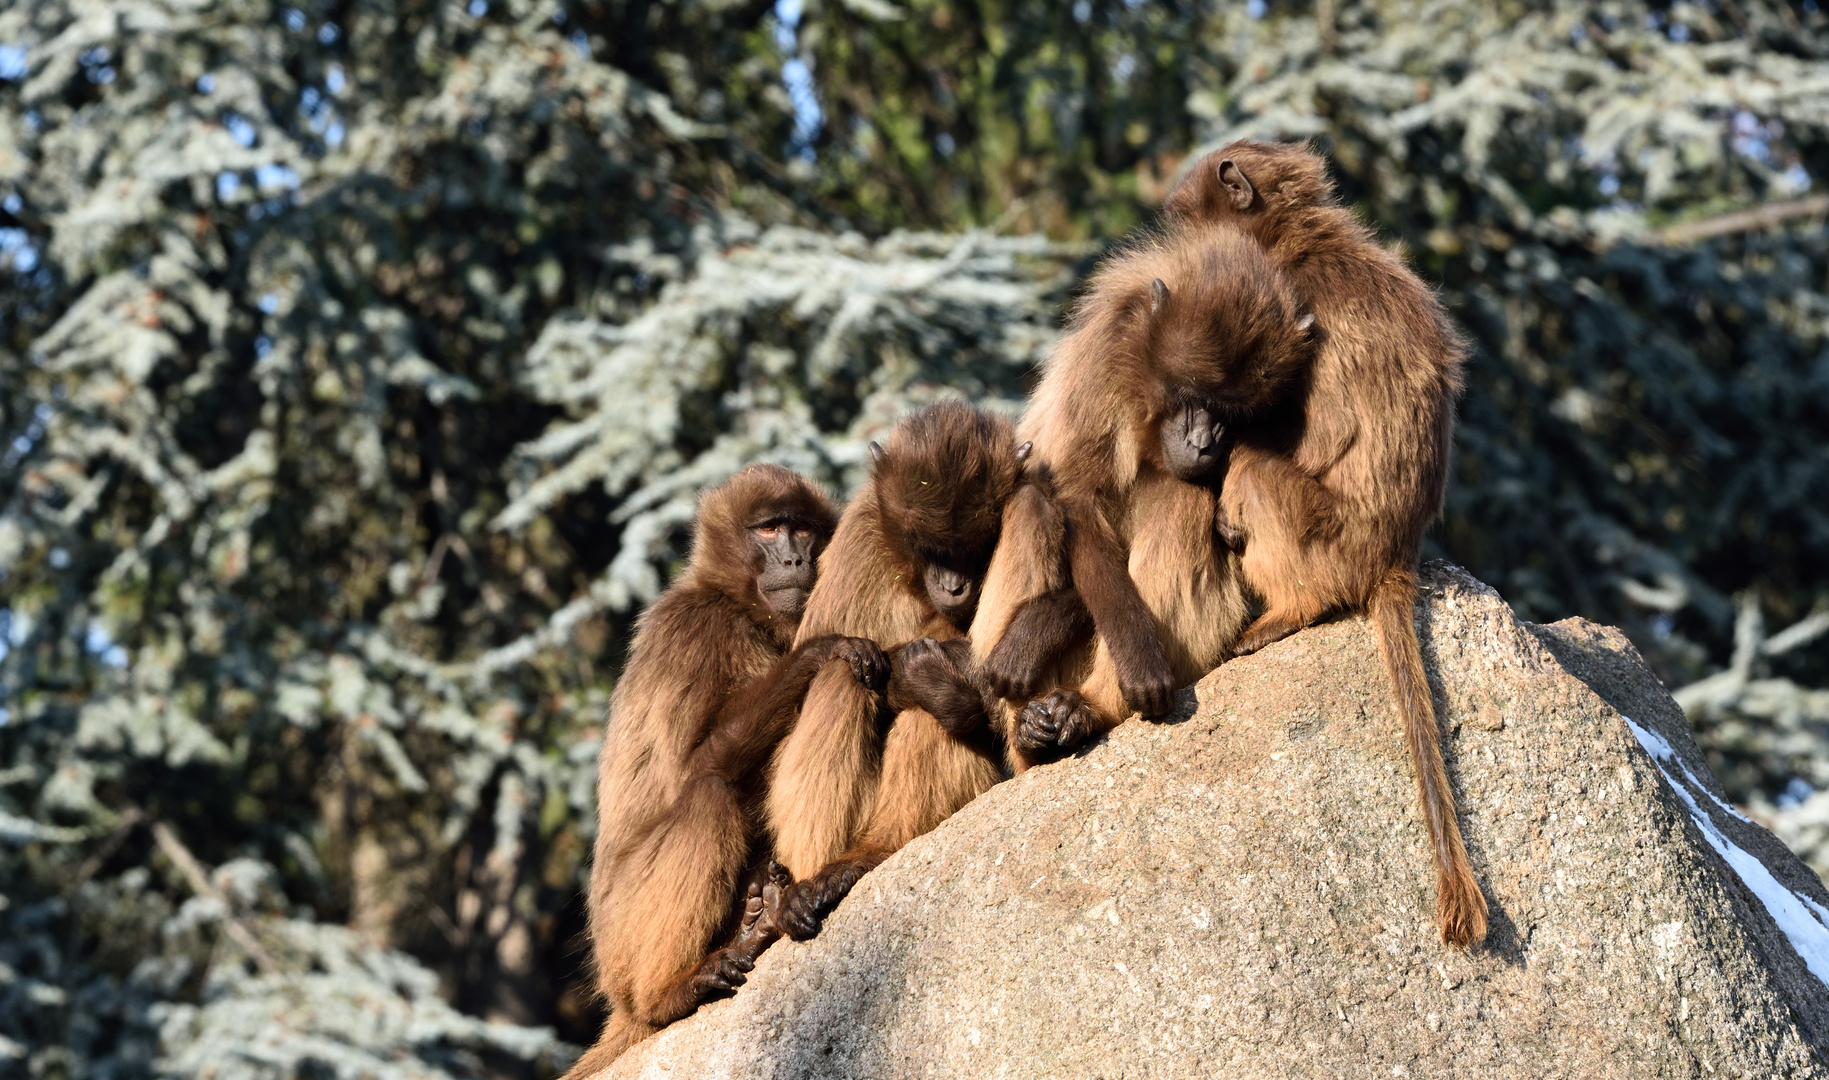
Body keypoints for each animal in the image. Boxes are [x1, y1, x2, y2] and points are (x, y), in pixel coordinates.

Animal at [566, 463, 888, 1076]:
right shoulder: (693, 631)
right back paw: (668, 995)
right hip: (624, 937)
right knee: (708, 795)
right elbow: (694, 768)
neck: (737, 605)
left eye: (802, 529)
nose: (795, 560)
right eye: (768, 529)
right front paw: (818, 652)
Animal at [764, 404, 1031, 937]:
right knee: (843, 673)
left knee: (930, 705)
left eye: (972, 548)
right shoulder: (863, 533)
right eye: (930, 548)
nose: (953, 586)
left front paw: (924, 677)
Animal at [973, 222, 1316, 768]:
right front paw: (1135, 659)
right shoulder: (1103, 359)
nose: (1203, 443)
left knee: (1181, 494)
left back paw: (1085, 709)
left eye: (1232, 413)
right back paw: (1033, 736)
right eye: (1195, 396)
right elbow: (1077, 502)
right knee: (1034, 504)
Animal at [1163, 140, 1492, 951]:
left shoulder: (1298, 305)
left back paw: (1288, 608)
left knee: (1259, 471)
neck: (1299, 238)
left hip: (1324, 536)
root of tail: (1392, 558)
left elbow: (1322, 430)